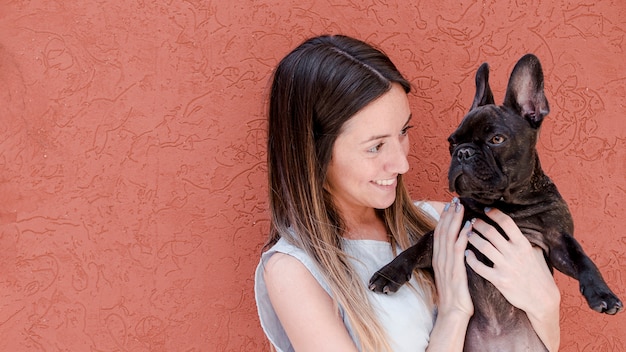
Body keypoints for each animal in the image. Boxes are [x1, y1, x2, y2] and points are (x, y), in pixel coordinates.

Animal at [368, 53, 620, 350]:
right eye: (452, 143)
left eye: (496, 139)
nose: (463, 153)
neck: (505, 203)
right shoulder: (449, 232)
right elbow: (417, 247)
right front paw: (389, 273)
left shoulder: (558, 241)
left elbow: (583, 260)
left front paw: (602, 294)